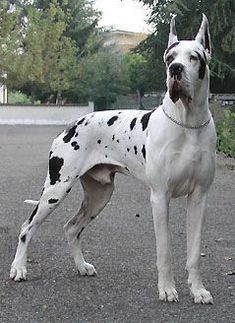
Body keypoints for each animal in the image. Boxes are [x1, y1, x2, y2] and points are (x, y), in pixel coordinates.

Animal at [11, 14, 217, 304]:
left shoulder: (199, 198)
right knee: (27, 227)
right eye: (169, 57)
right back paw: (19, 268)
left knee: (71, 227)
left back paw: (81, 266)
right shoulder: (160, 197)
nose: (175, 69)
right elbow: (165, 252)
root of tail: (69, 126)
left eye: (195, 57)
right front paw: (167, 289)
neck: (188, 124)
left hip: (100, 196)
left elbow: (194, 253)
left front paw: (198, 290)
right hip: (55, 190)